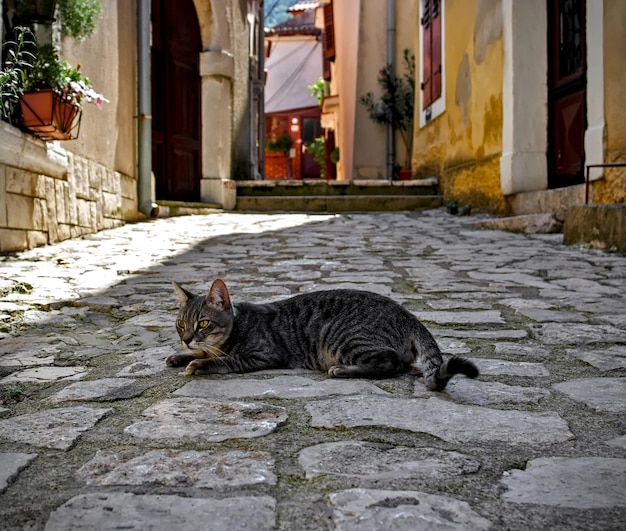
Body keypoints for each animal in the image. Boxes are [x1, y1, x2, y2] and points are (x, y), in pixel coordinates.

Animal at [166, 280, 478, 392]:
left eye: (203, 323)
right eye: (181, 324)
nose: (186, 338)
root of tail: (408, 314)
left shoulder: (263, 354)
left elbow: (224, 360)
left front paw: (198, 363)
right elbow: (204, 351)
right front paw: (181, 355)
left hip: (343, 336)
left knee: (391, 362)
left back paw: (342, 370)